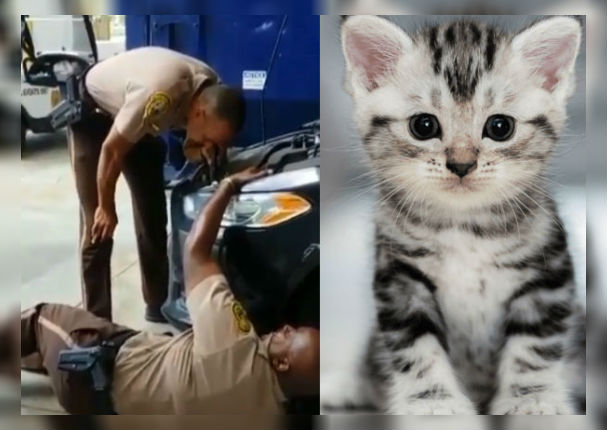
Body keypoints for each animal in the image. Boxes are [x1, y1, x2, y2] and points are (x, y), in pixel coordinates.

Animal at [340, 15, 588, 414]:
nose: (461, 164)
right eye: (423, 125)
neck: (464, 227)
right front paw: (434, 406)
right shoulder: (399, 276)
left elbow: (534, 346)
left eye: (500, 127)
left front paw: (531, 401)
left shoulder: (548, 271)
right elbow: (416, 347)